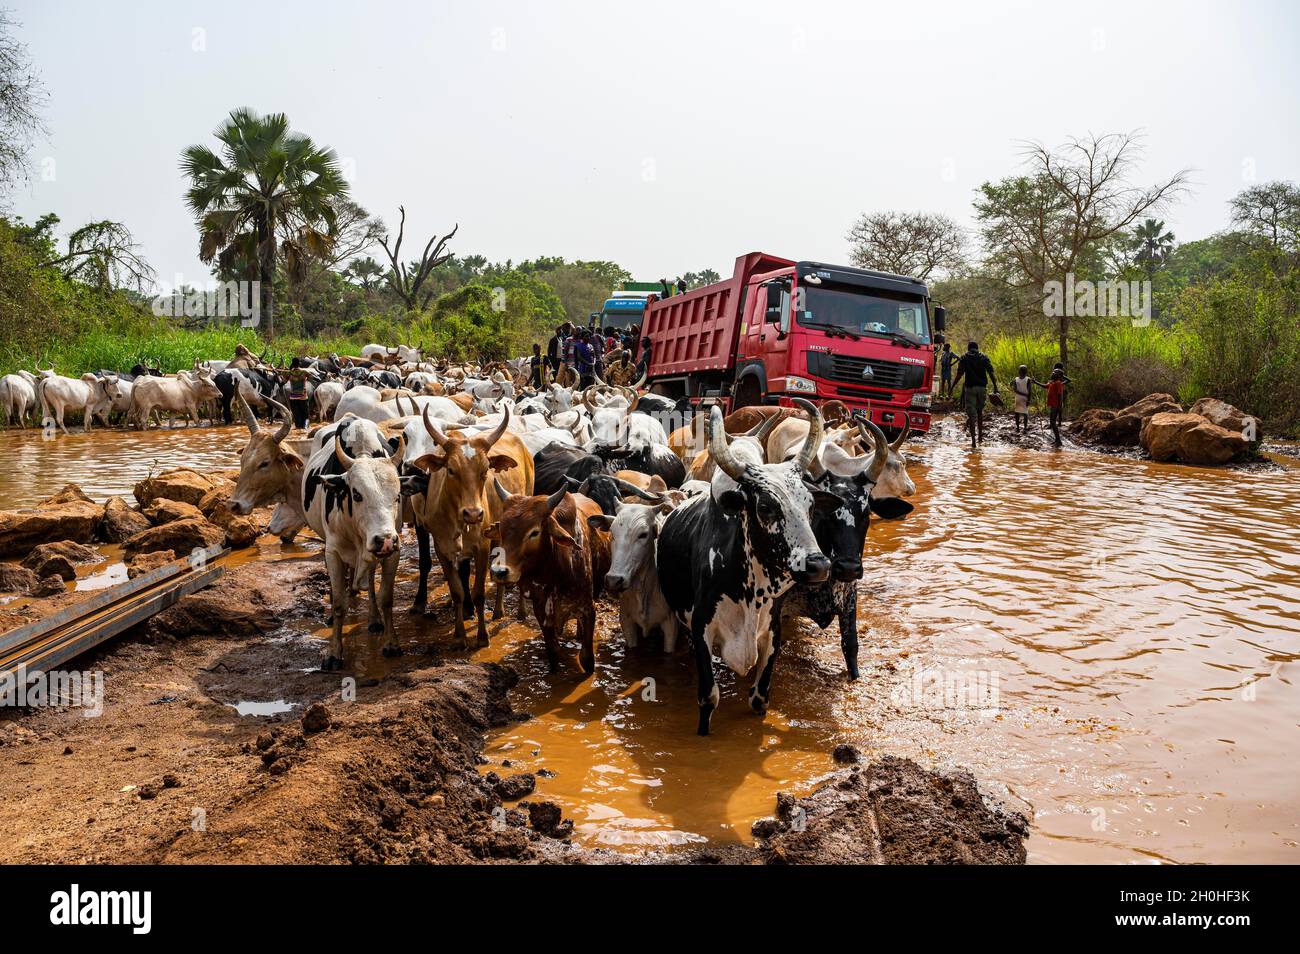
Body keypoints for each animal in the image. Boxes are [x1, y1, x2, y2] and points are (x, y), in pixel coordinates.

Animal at [488, 488, 608, 675]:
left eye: (534, 532)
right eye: (502, 529)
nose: (498, 571)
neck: (555, 575)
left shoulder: (588, 608)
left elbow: (587, 658)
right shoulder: (541, 611)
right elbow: (553, 652)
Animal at [660, 400, 832, 738]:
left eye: (809, 505)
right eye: (765, 506)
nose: (818, 565)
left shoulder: (772, 630)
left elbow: (759, 697)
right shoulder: (702, 628)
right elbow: (708, 697)